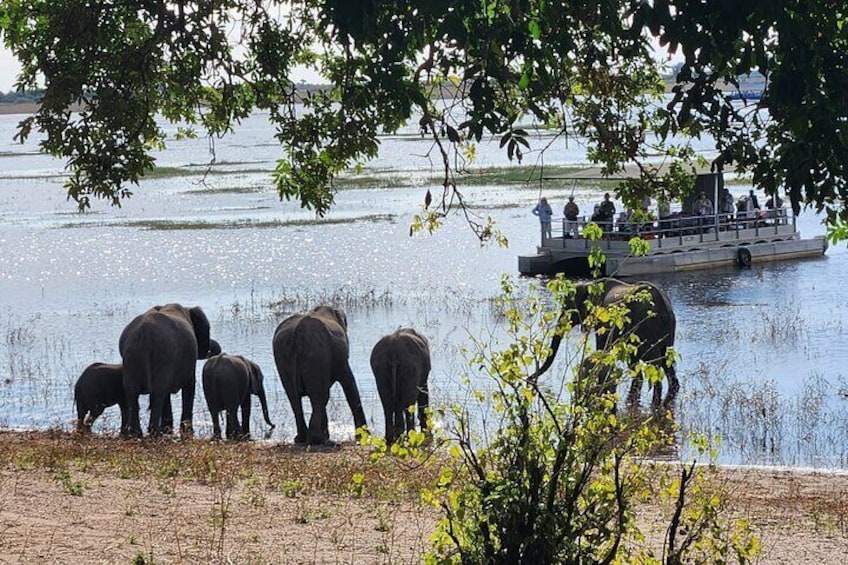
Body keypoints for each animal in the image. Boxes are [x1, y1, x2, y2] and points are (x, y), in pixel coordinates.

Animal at [119, 303, 221, 438]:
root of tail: (144, 335)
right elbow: (189, 387)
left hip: (131, 359)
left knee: (132, 394)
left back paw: (138, 434)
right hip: (163, 356)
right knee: (158, 394)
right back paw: (155, 433)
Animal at [272, 305, 367, 446]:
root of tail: (298, 334)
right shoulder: (341, 361)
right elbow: (349, 383)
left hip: (283, 359)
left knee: (295, 399)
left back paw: (302, 439)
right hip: (316, 354)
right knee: (320, 397)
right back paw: (321, 440)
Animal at [531, 278, 678, 413]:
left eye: (568, 308)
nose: (530, 379)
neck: (589, 284)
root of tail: (664, 307)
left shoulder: (602, 320)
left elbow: (602, 349)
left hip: (647, 328)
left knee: (654, 364)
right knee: (666, 363)